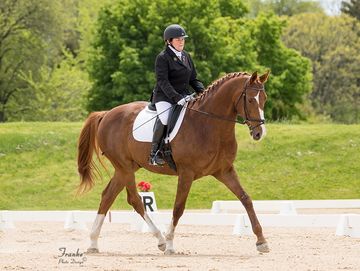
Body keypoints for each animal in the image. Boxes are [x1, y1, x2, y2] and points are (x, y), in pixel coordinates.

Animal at [78, 70, 270, 255]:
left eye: (264, 99)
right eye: (251, 99)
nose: (259, 133)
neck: (208, 125)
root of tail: (106, 114)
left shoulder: (224, 170)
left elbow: (246, 199)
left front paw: (261, 241)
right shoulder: (186, 173)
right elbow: (178, 207)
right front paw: (170, 244)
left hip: (126, 168)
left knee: (108, 196)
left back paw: (93, 242)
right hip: (124, 167)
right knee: (135, 199)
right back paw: (161, 240)